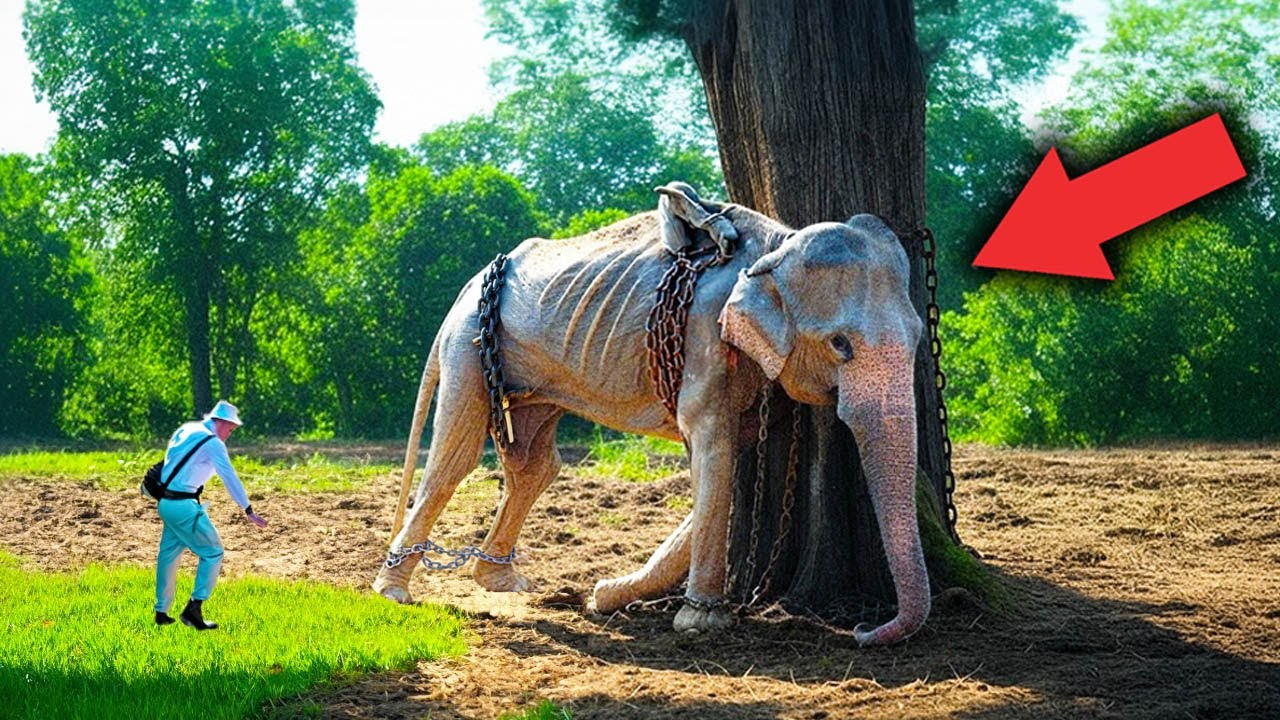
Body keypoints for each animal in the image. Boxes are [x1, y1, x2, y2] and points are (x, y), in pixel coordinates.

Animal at [372, 184, 929, 646]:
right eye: (840, 345)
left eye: (920, 334)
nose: (861, 630)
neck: (776, 244)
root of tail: (467, 288)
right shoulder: (704, 333)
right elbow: (714, 450)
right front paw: (699, 622)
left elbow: (730, 454)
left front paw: (614, 595)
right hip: (470, 345)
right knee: (456, 456)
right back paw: (393, 590)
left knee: (533, 462)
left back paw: (501, 579)